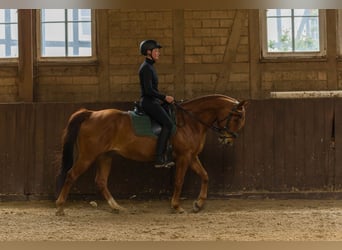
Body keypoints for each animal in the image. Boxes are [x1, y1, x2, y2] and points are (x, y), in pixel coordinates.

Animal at [55, 94, 248, 215]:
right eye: (237, 117)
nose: (228, 140)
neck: (190, 121)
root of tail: (91, 114)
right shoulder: (184, 157)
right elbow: (179, 181)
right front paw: (176, 206)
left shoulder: (191, 156)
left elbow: (205, 176)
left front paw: (198, 204)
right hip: (88, 156)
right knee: (71, 175)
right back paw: (60, 207)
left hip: (105, 156)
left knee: (101, 181)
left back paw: (116, 207)